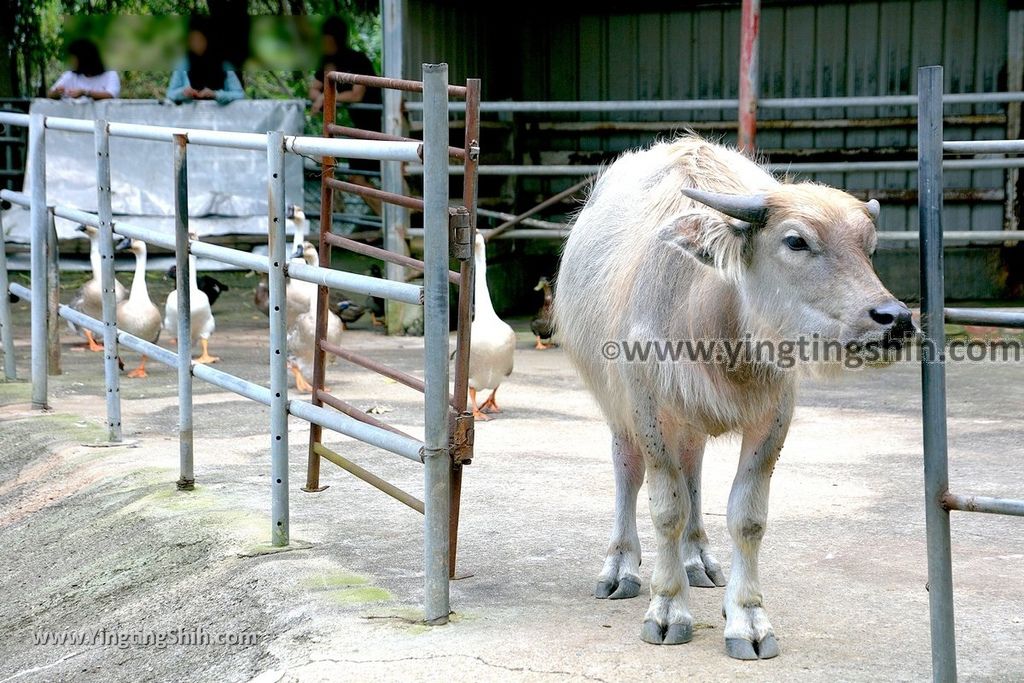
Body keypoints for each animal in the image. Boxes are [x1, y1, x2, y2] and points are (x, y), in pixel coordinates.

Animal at [557, 136, 917, 659]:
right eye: (796, 241)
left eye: (869, 248)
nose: (896, 320)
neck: (714, 323)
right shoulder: (647, 407)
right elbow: (665, 507)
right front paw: (668, 609)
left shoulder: (774, 416)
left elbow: (746, 518)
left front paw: (746, 618)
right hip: (618, 406)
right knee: (629, 471)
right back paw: (621, 567)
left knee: (692, 468)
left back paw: (696, 558)